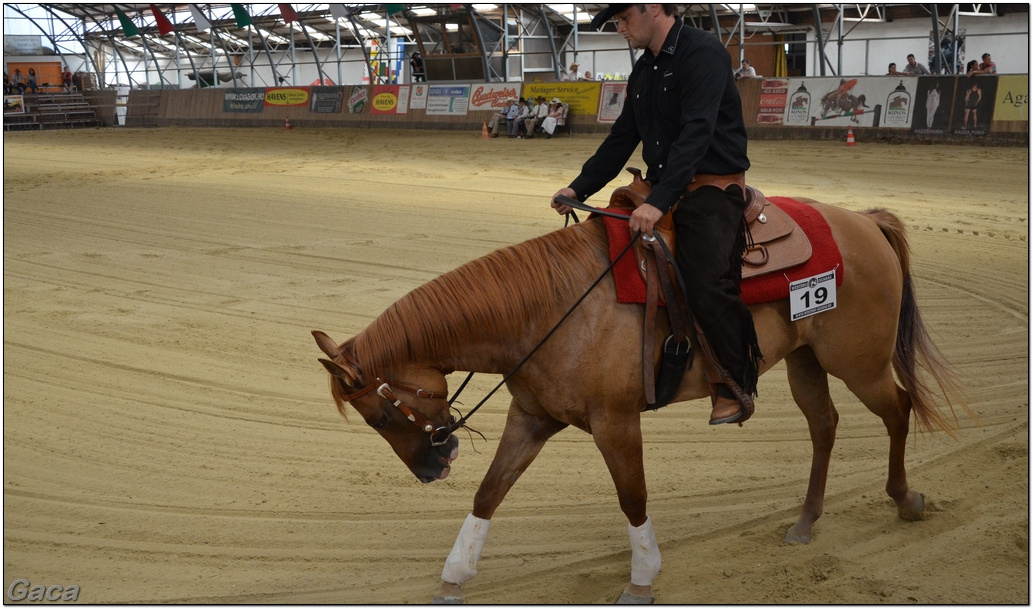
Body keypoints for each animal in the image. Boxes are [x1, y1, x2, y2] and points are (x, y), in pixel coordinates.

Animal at [309, 200, 962, 606]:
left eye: (380, 414)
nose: (429, 470)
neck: (549, 309)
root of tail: (864, 222)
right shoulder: (533, 418)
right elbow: (489, 493)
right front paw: (453, 577)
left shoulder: (615, 422)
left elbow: (633, 496)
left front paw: (642, 579)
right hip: (807, 360)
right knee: (824, 425)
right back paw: (805, 521)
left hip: (860, 361)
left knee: (898, 409)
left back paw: (905, 499)